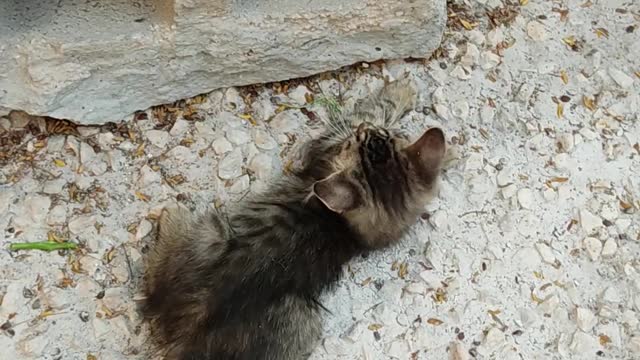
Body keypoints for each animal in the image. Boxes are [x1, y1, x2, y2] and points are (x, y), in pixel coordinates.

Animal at [143, 77, 448, 358]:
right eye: (375, 136)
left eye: (358, 139)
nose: (363, 130)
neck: (344, 227)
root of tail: (186, 329)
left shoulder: (326, 145)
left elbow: (372, 109)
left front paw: (398, 91)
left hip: (216, 235)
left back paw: (172, 213)